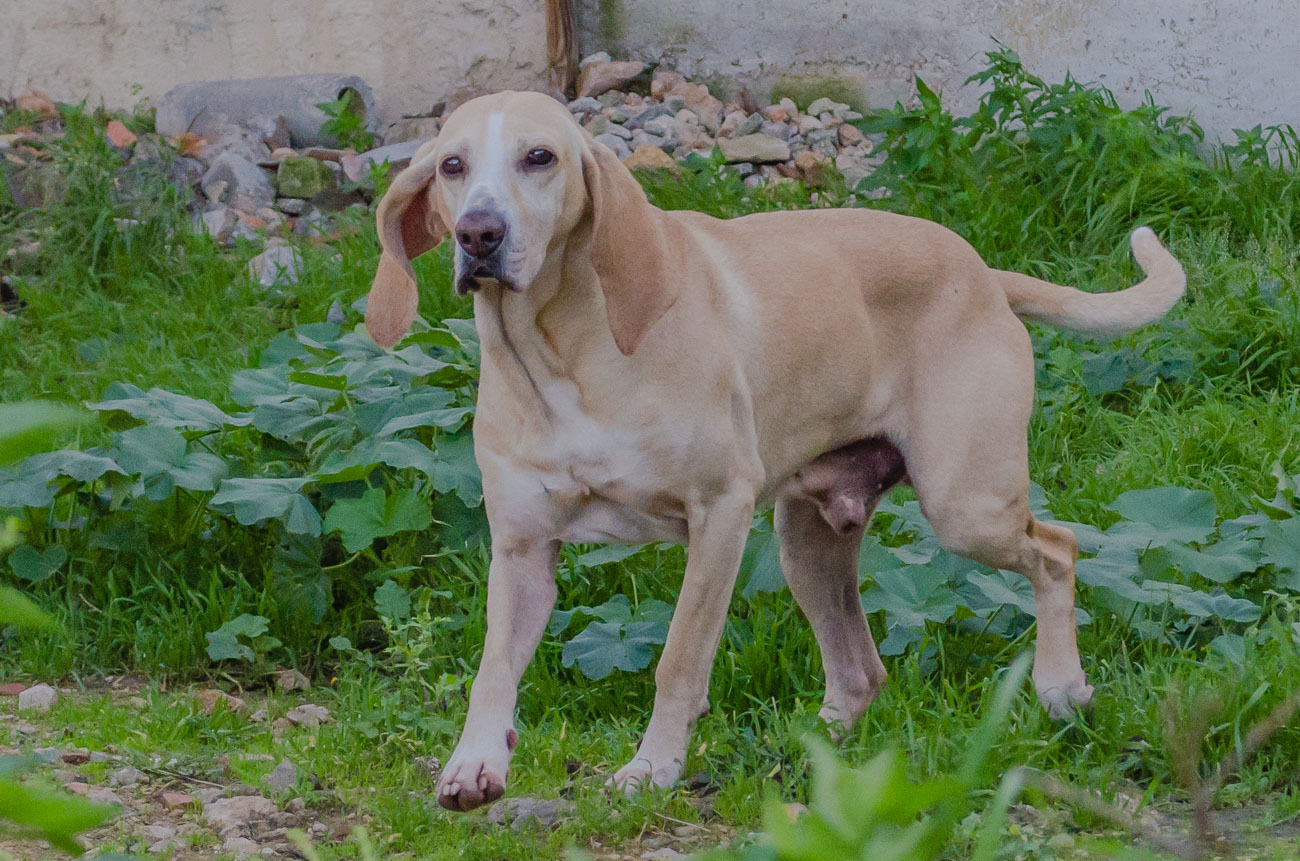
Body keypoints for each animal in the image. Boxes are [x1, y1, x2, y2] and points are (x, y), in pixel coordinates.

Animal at [361, 91, 1185, 811]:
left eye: (540, 157)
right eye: (452, 166)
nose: (479, 234)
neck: (562, 351)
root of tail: (983, 272)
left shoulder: (719, 516)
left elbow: (679, 659)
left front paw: (653, 767)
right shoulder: (523, 549)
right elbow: (494, 668)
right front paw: (474, 764)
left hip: (966, 506)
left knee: (1058, 549)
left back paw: (1060, 688)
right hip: (806, 543)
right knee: (860, 672)